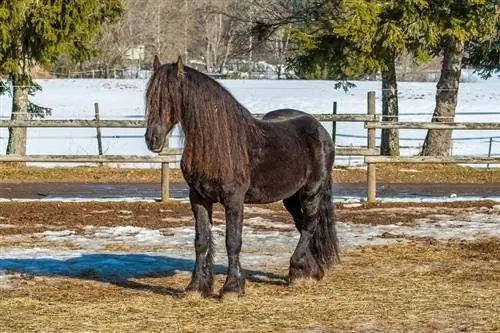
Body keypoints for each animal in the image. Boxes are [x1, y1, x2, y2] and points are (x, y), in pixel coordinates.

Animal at [145, 55, 340, 296]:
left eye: (170, 96)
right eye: (150, 97)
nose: (152, 139)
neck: (219, 144)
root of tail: (320, 129)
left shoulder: (234, 200)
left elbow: (233, 241)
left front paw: (232, 288)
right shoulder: (198, 198)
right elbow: (201, 241)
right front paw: (196, 287)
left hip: (312, 190)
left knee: (309, 224)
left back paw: (297, 268)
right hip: (291, 197)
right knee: (302, 223)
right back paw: (309, 272)